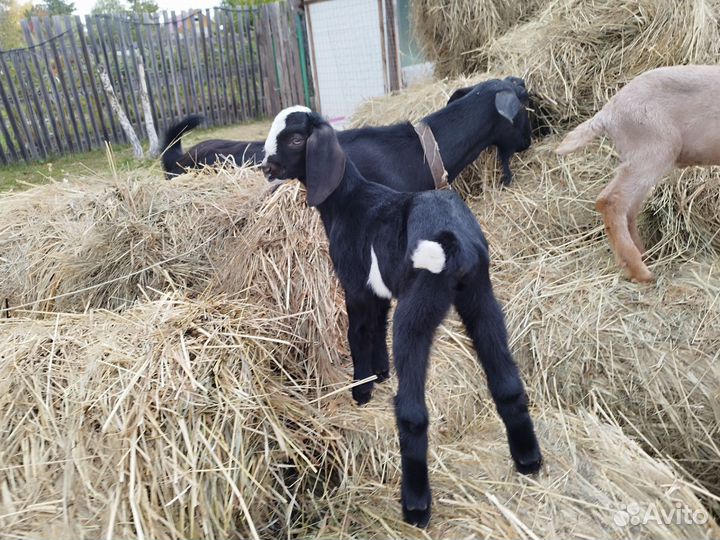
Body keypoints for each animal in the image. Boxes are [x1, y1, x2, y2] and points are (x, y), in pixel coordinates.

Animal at [262, 107, 542, 527]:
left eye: (296, 139)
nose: (265, 166)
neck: (350, 201)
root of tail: (453, 242)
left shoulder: (356, 285)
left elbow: (358, 333)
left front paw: (361, 391)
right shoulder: (379, 290)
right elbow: (375, 328)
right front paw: (380, 374)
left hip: (416, 312)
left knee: (412, 412)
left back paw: (415, 506)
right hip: (482, 300)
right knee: (507, 383)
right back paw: (528, 461)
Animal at [556, 65, 720, 283]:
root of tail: (608, 112)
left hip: (640, 158)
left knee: (629, 209)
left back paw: (643, 255)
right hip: (653, 150)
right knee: (611, 200)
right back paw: (640, 271)